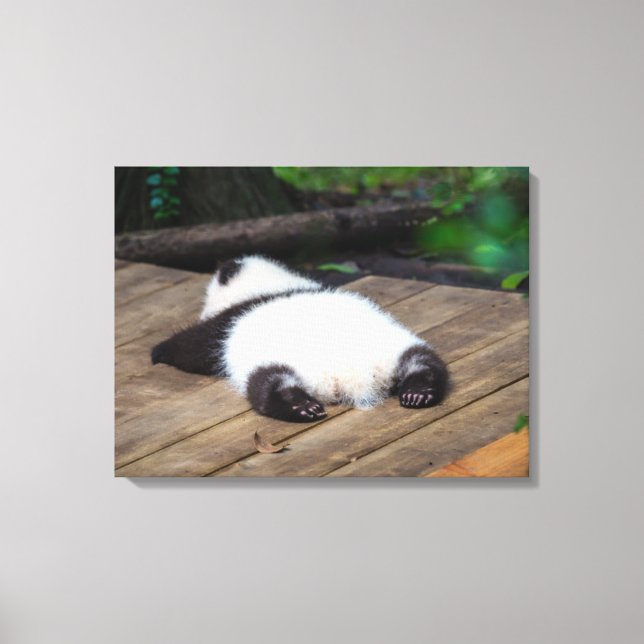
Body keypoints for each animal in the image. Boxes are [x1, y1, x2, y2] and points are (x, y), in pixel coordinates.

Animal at [151, 255, 448, 423]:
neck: (272, 285)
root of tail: (350, 375)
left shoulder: (228, 322)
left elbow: (193, 347)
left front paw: (159, 352)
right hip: (393, 348)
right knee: (423, 362)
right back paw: (418, 392)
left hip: (272, 362)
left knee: (268, 383)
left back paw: (300, 407)